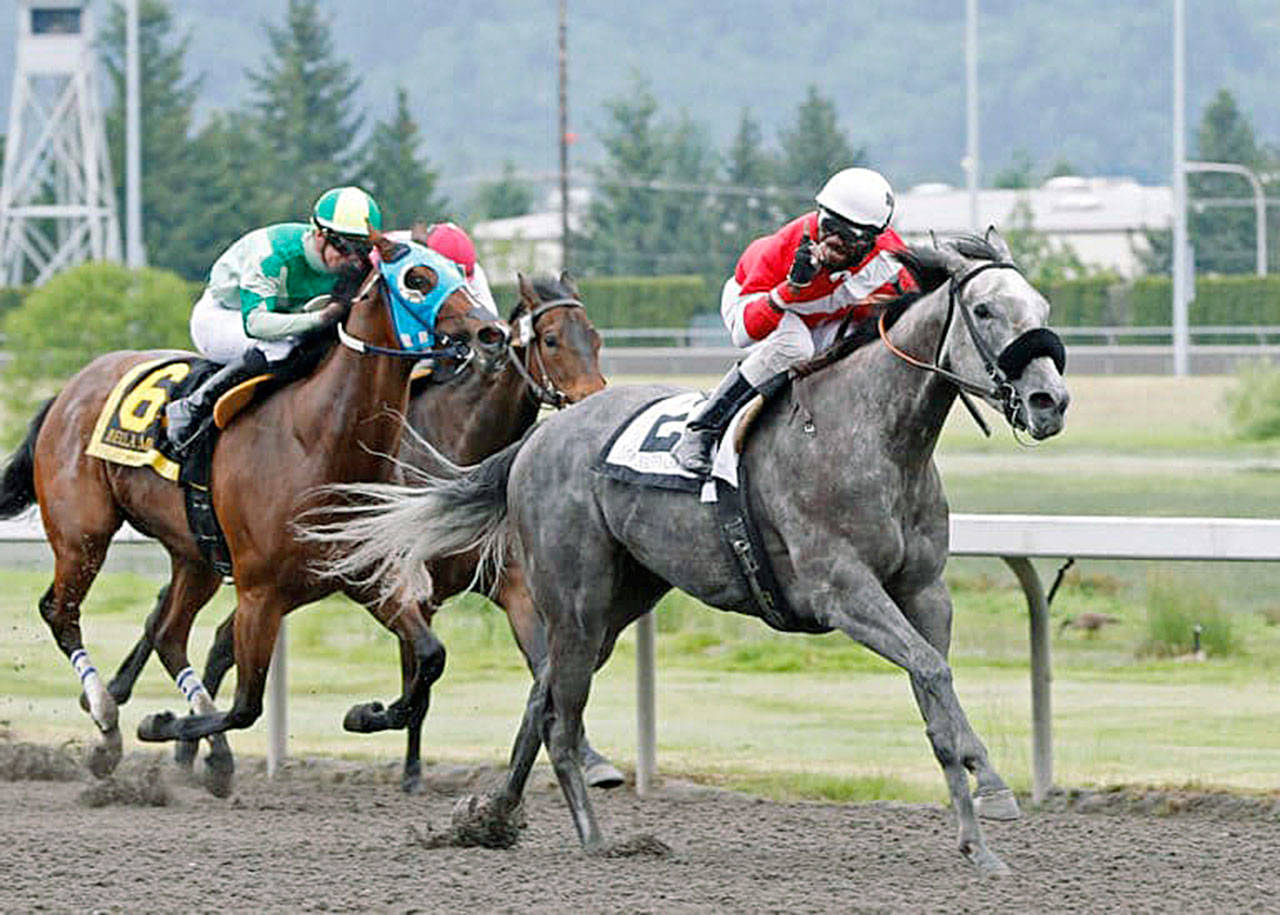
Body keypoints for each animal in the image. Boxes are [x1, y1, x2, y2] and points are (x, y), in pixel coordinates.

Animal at [0, 230, 506, 793]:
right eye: (418, 278)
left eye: (459, 273)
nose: (492, 333)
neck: (316, 439)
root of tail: (69, 388)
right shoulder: (261, 593)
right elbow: (246, 706)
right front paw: (161, 724)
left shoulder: (364, 573)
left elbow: (430, 657)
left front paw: (367, 713)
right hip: (83, 533)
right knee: (61, 612)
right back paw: (109, 725)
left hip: (193, 554)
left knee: (168, 634)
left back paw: (204, 749)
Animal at [307, 230, 1070, 875]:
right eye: (984, 309)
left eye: (1040, 307)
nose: (1049, 400)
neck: (874, 436)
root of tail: (537, 438)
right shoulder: (843, 590)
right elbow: (934, 672)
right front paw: (994, 783)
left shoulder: (923, 592)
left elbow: (934, 691)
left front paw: (979, 840)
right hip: (578, 598)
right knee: (560, 714)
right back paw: (595, 838)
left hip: (623, 595)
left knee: (540, 695)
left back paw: (492, 818)